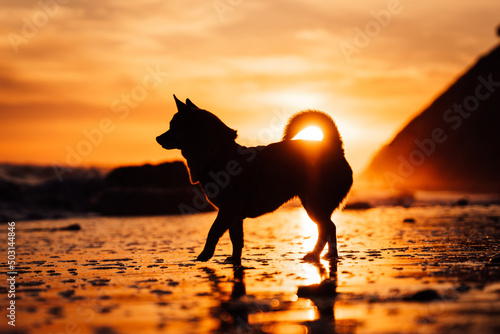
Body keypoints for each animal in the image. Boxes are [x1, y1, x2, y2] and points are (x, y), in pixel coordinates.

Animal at [156, 95, 352, 264]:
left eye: (173, 126)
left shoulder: (228, 210)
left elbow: (213, 231)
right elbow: (236, 239)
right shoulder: (234, 216)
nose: (157, 138)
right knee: (329, 228)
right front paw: (235, 260)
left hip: (314, 204)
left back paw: (315, 254)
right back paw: (329, 255)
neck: (219, 155)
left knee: (327, 228)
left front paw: (205, 254)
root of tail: (335, 148)